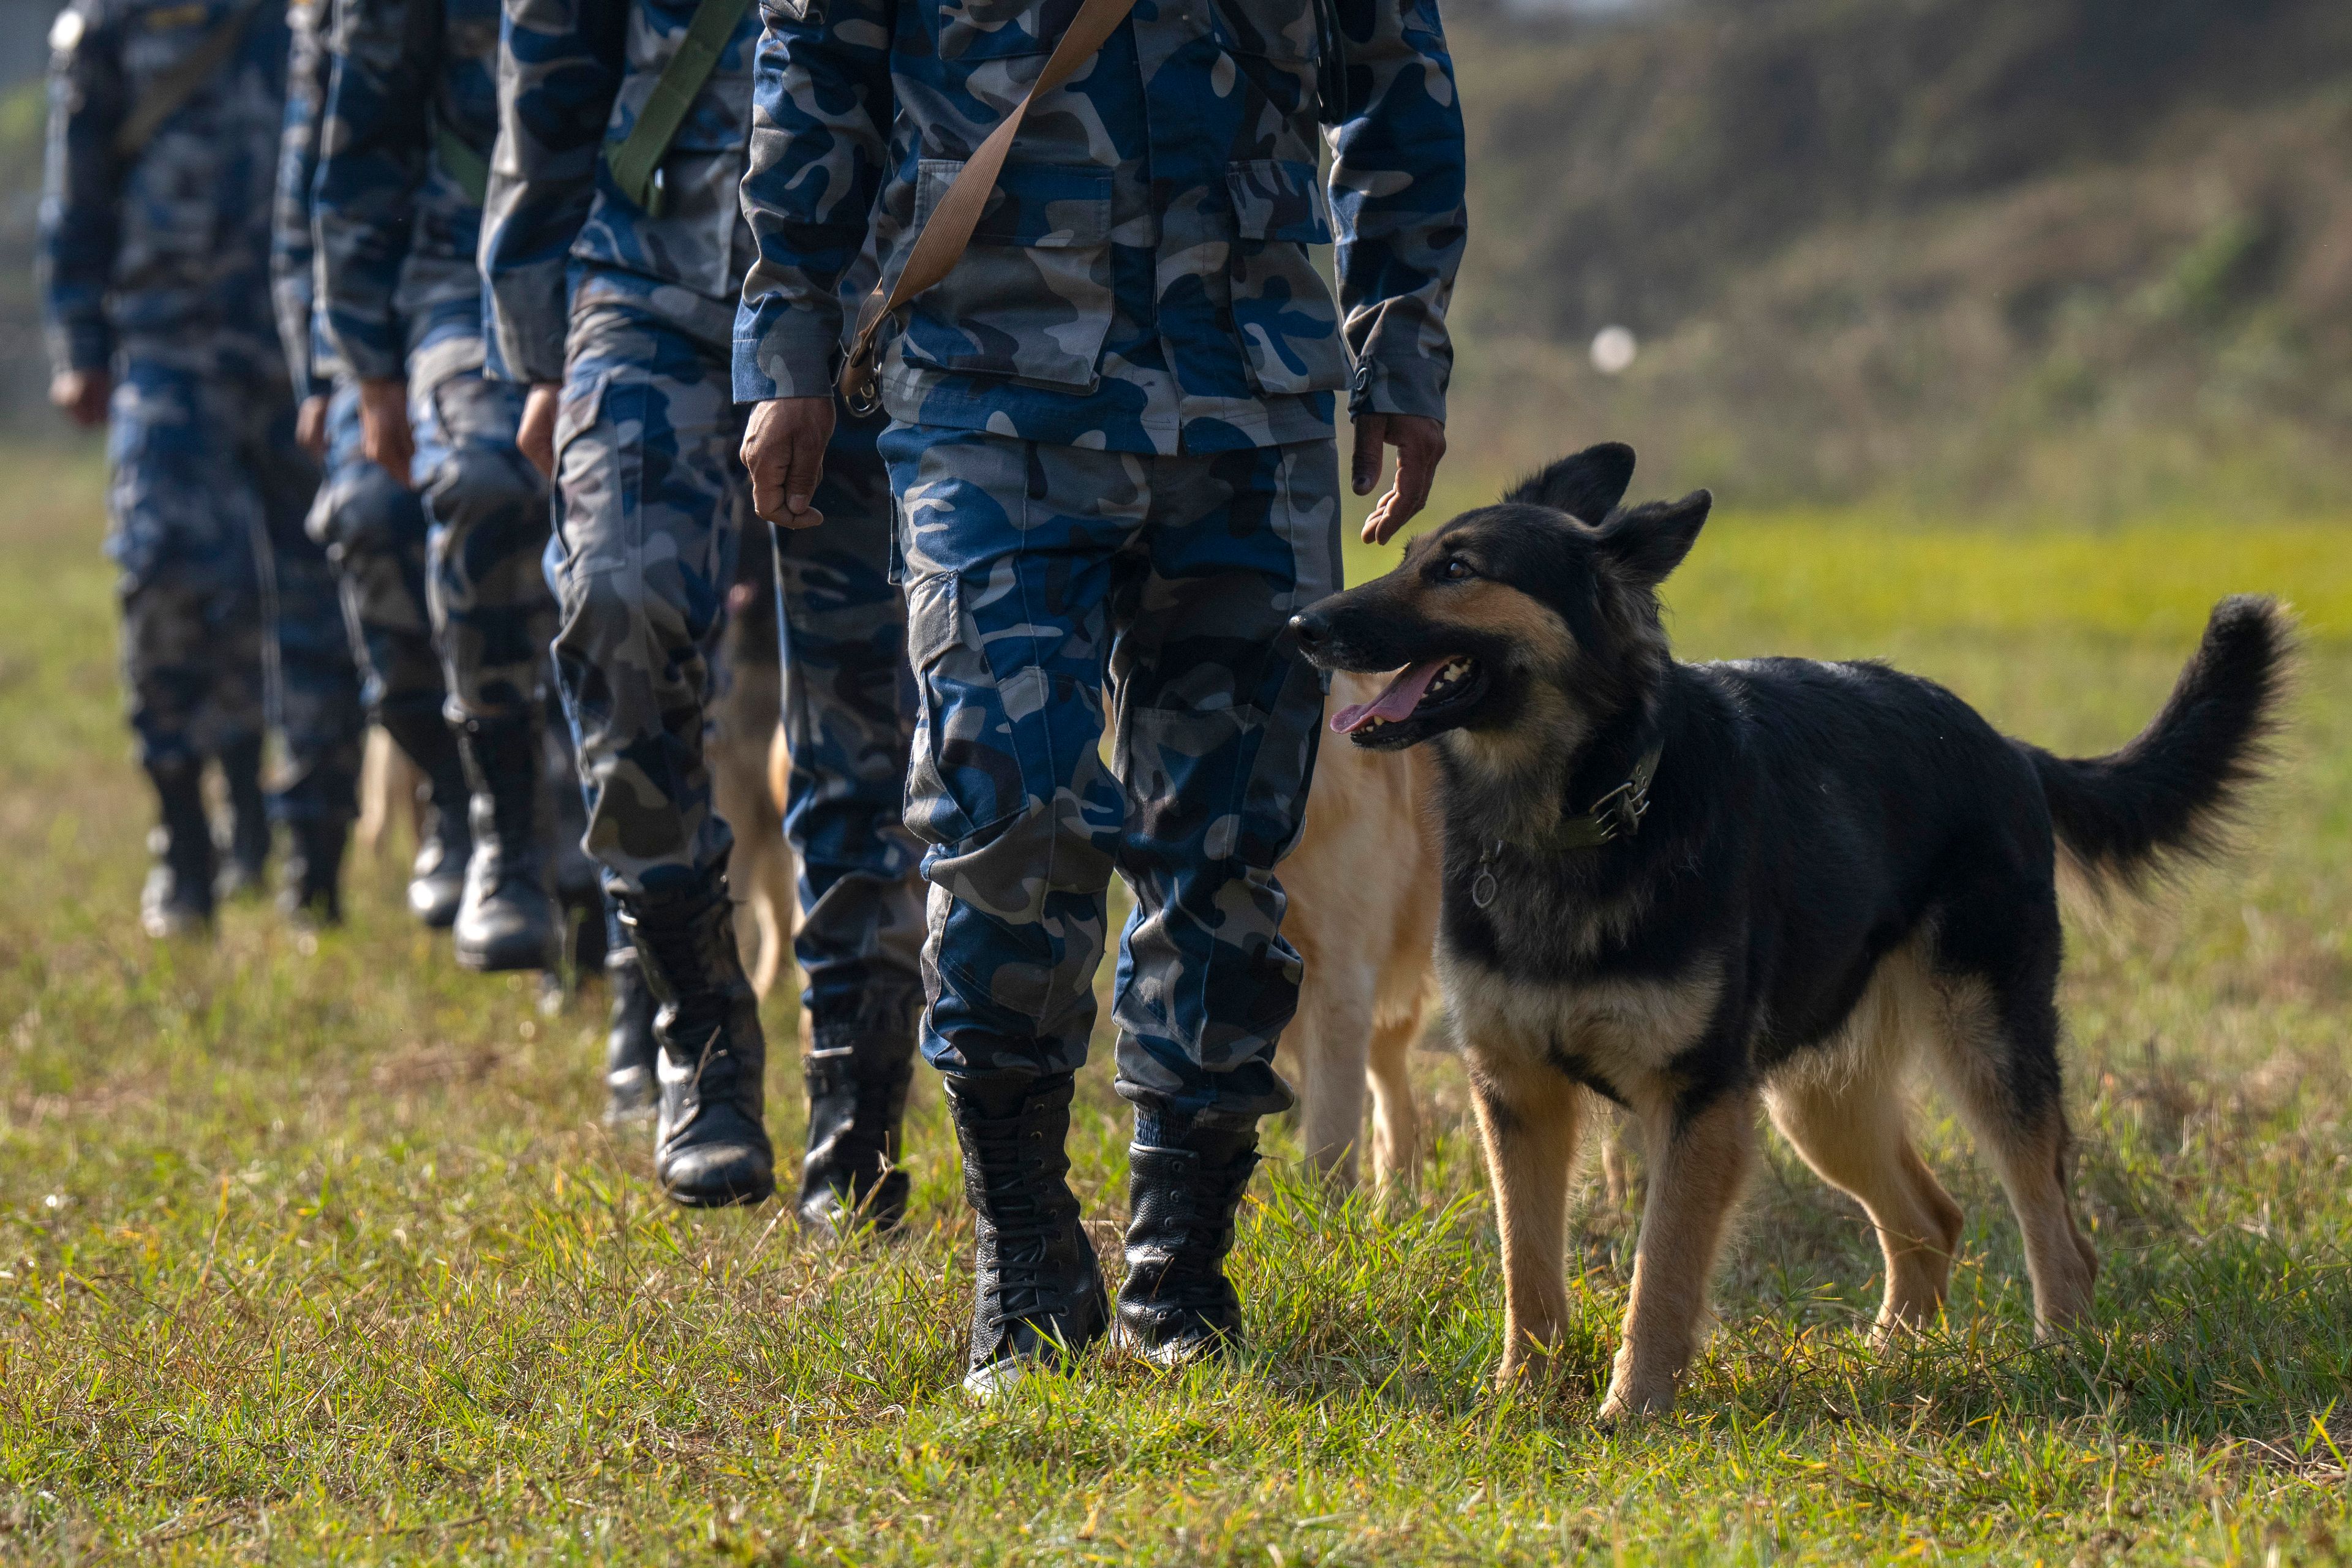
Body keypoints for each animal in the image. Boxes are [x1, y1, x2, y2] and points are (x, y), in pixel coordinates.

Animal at [1279, 444, 2286, 1420]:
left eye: (1456, 570)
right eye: (1407, 556)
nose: (1299, 627)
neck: (1576, 813)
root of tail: (2004, 745)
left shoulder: (1697, 1104)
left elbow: (1661, 1270)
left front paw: (1634, 1406)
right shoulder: (1520, 1094)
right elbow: (1526, 1265)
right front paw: (1520, 1392)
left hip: (1986, 1051)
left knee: (2056, 1230)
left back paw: (2063, 1360)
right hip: (1817, 1100)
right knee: (1933, 1219)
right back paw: (1894, 1356)